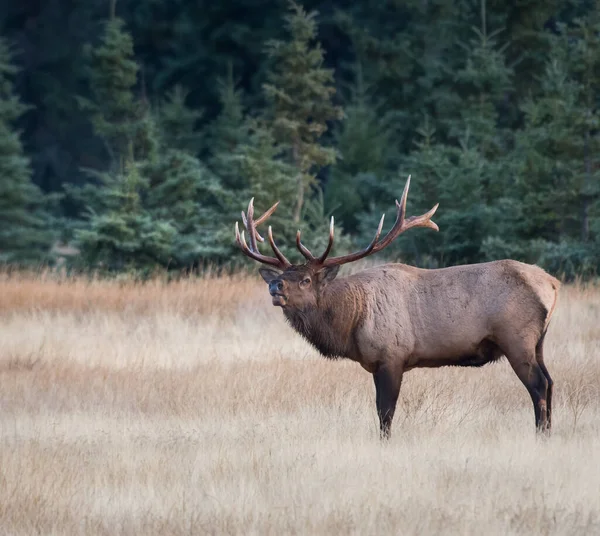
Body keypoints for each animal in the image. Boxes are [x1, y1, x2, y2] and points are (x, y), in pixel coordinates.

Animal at [233, 178, 556, 438]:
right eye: (283, 276)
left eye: (305, 279)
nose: (275, 287)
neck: (352, 322)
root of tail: (552, 284)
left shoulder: (392, 356)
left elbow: (385, 413)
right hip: (538, 343)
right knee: (551, 382)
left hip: (517, 339)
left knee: (538, 385)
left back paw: (540, 435)